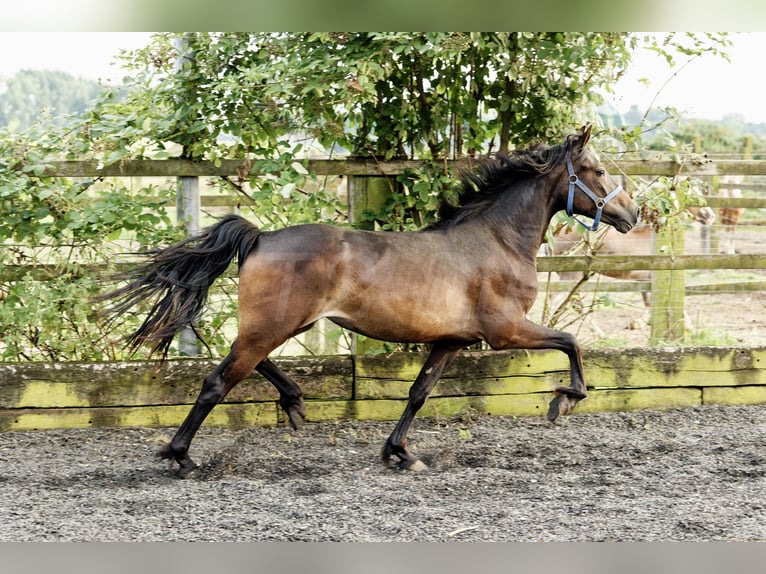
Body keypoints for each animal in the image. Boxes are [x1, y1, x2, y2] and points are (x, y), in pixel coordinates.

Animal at [102, 125, 640, 476]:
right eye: (595, 170)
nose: (632, 214)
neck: (497, 240)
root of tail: (261, 237)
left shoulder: (451, 341)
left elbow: (419, 392)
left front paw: (400, 454)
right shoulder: (505, 331)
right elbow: (571, 342)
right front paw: (565, 401)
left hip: (284, 323)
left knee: (248, 360)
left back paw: (294, 402)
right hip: (274, 323)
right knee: (219, 379)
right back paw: (181, 456)